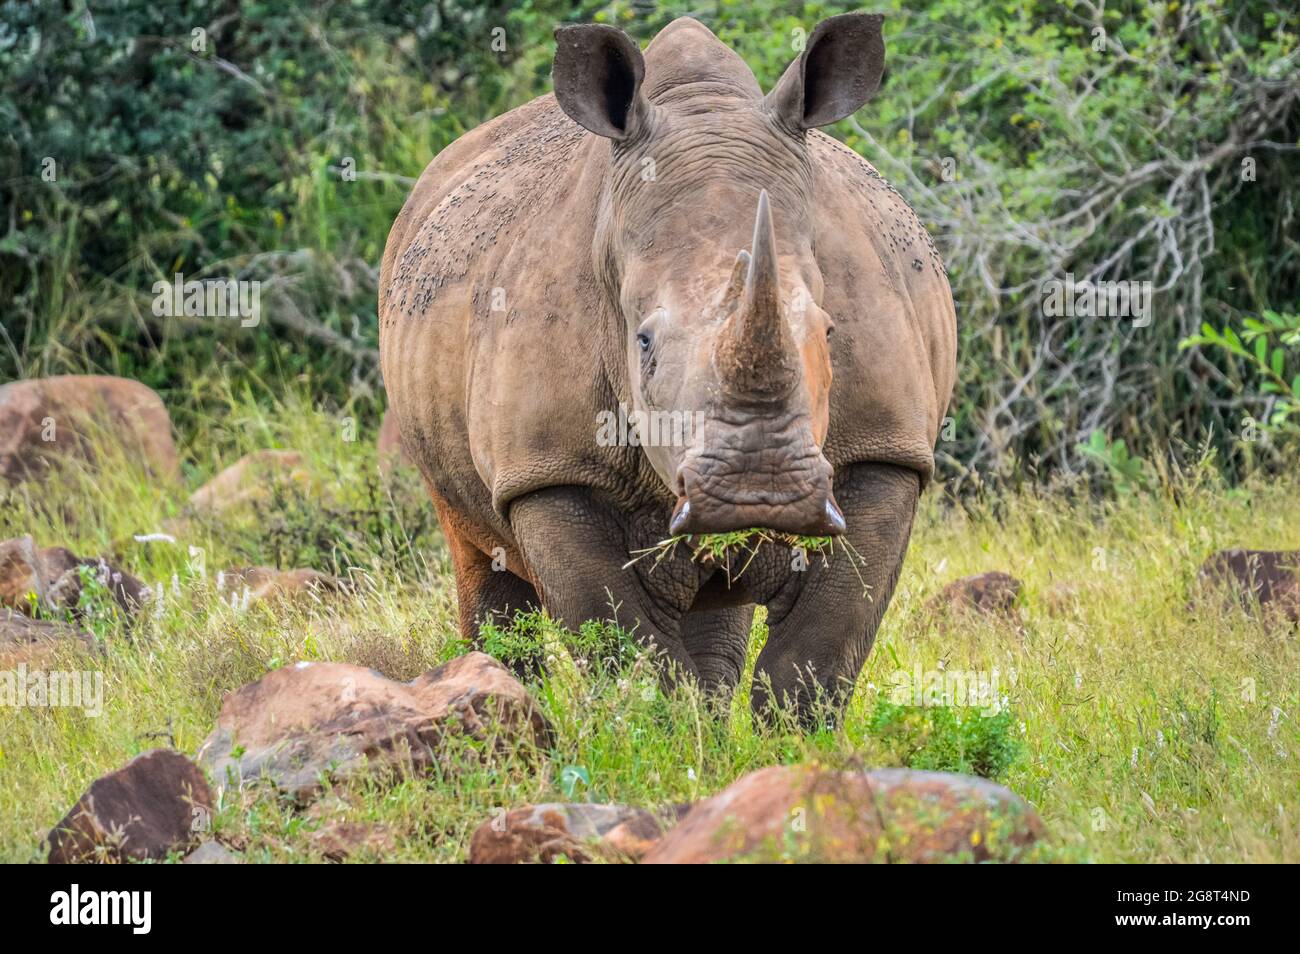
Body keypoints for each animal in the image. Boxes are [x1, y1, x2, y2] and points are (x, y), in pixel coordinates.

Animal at [380, 13, 956, 720]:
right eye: (644, 343)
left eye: (827, 331)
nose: (759, 491)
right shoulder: (547, 471)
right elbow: (633, 650)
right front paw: (671, 736)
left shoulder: (887, 448)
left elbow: (815, 659)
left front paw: (793, 744)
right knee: (479, 556)